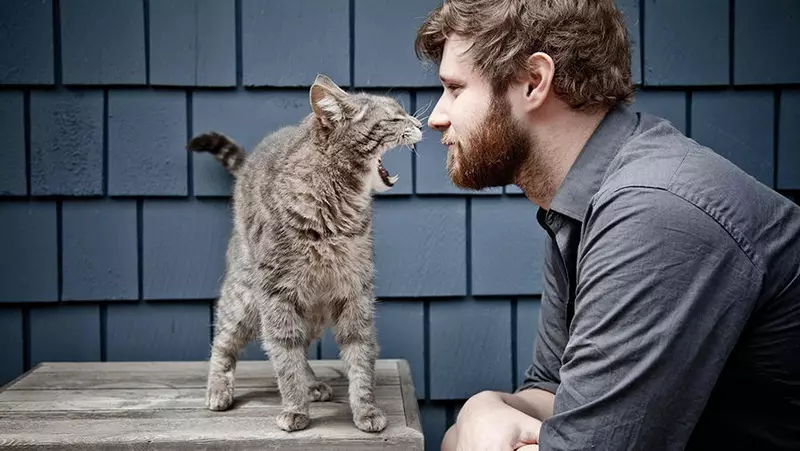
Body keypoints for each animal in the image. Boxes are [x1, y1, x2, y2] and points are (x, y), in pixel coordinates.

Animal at [188, 74, 424, 434]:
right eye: (395, 118)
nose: (420, 123)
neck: (338, 208)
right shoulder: (277, 295)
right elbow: (285, 356)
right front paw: (295, 408)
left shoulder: (356, 292)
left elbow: (359, 354)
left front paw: (365, 409)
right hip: (245, 297)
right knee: (226, 341)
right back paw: (218, 388)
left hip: (311, 309)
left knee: (300, 349)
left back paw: (312, 384)